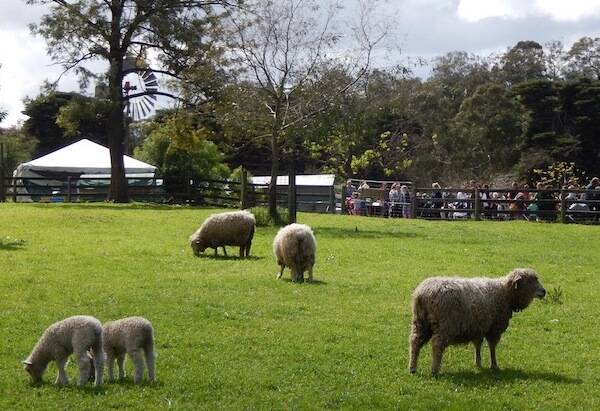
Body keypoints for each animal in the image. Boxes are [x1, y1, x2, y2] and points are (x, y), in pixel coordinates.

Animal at [410, 268, 548, 374]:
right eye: (530, 281)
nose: (544, 291)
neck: (506, 294)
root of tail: (424, 293)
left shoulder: (478, 326)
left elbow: (478, 344)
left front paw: (478, 363)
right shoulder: (494, 328)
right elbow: (492, 347)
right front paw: (494, 365)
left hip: (420, 322)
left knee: (415, 342)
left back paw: (412, 368)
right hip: (446, 324)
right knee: (437, 344)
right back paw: (434, 369)